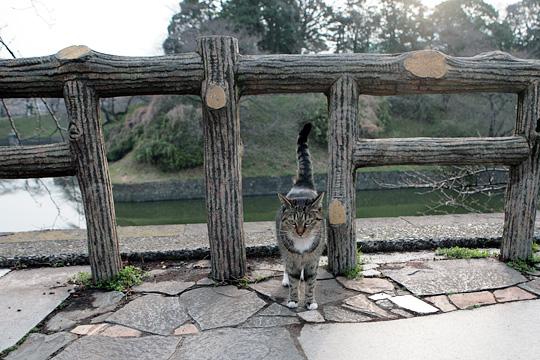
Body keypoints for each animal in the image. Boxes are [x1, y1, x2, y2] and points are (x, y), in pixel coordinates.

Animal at [274, 123, 324, 310]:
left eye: (308, 222)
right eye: (292, 222)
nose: (300, 232)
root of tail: (302, 184)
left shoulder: (313, 259)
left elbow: (311, 281)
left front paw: (310, 302)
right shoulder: (290, 255)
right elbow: (293, 278)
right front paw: (293, 300)